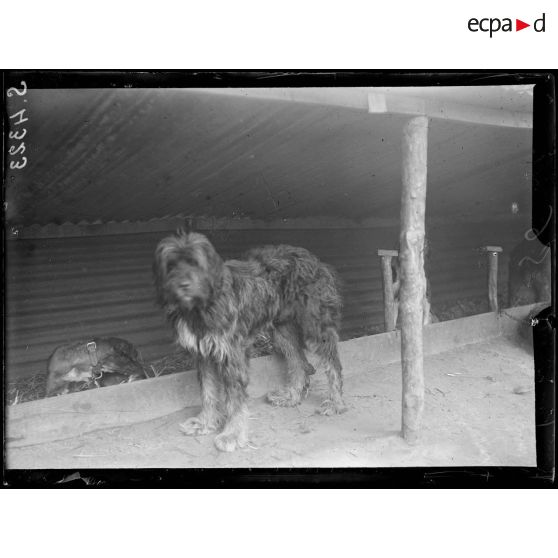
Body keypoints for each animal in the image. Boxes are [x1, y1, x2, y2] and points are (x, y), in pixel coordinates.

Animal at [153, 232, 346, 456]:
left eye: (196, 263)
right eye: (171, 265)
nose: (183, 284)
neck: (202, 305)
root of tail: (315, 260)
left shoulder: (233, 355)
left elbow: (234, 399)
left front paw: (232, 435)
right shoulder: (203, 355)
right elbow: (208, 392)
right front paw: (206, 423)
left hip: (315, 327)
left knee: (333, 363)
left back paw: (336, 403)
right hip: (282, 331)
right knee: (298, 362)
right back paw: (292, 396)